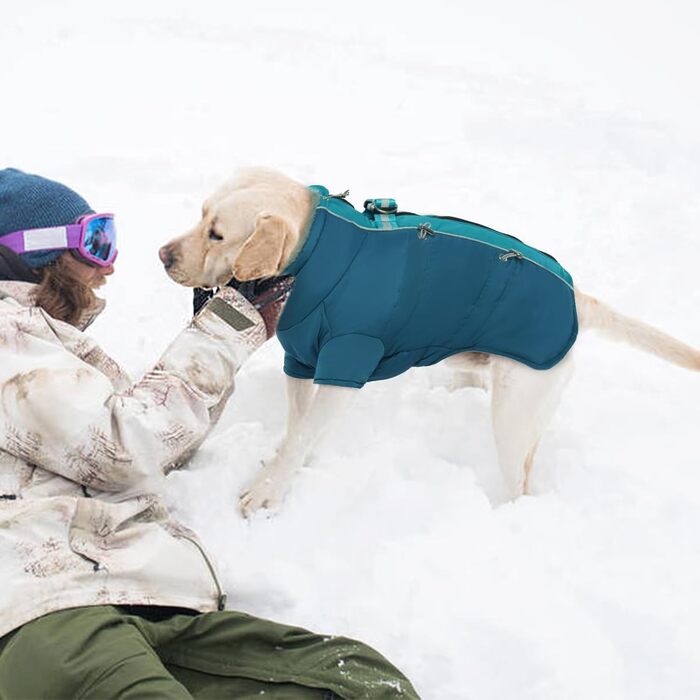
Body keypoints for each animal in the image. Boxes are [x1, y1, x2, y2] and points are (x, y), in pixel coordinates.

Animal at [160, 167, 700, 516]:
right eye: (200, 214)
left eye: (217, 234)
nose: (162, 254)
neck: (316, 254)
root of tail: (576, 299)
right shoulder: (303, 361)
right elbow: (299, 428)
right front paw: (286, 463)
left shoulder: (346, 362)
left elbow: (304, 432)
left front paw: (268, 492)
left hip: (514, 412)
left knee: (520, 481)